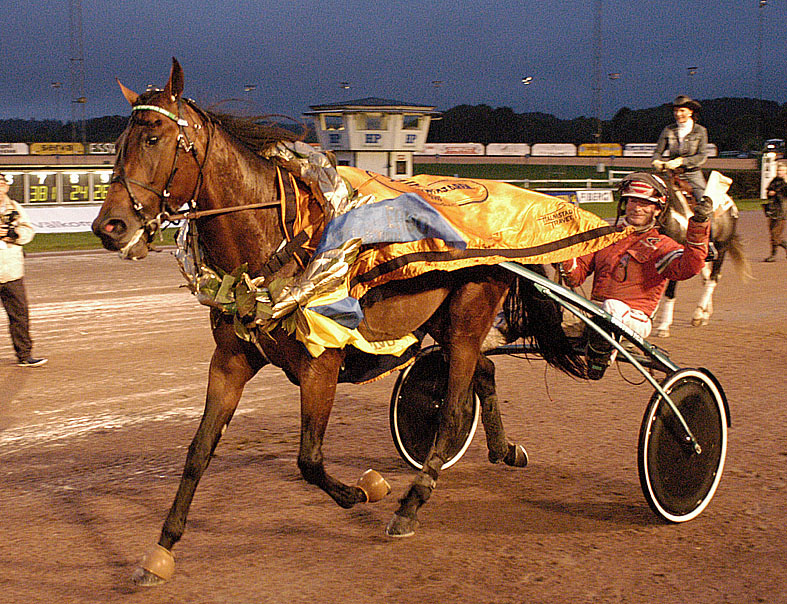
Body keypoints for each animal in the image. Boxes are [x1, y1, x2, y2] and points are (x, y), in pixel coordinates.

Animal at [92, 59, 588, 584]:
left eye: (154, 137)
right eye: (119, 143)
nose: (109, 226)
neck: (275, 241)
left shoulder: (321, 364)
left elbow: (308, 459)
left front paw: (365, 490)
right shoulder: (230, 361)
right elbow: (198, 451)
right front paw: (162, 547)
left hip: (467, 316)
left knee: (453, 410)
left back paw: (411, 505)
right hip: (443, 322)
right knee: (485, 372)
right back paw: (504, 450)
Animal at [648, 170, 756, 338]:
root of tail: (731, 204)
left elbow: (670, 291)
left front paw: (663, 327)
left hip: (722, 247)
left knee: (713, 278)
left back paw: (698, 315)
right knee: (707, 278)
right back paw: (704, 315)